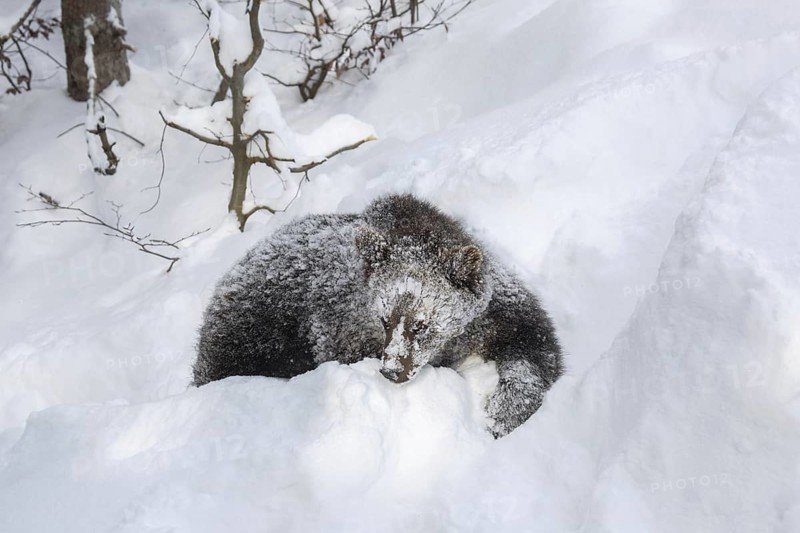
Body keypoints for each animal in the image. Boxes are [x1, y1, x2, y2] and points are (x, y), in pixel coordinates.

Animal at [193, 194, 564, 437]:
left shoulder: (499, 311)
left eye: (421, 325)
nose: (392, 370)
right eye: (385, 319)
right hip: (255, 330)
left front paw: (502, 413)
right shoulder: (338, 325)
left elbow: (535, 349)